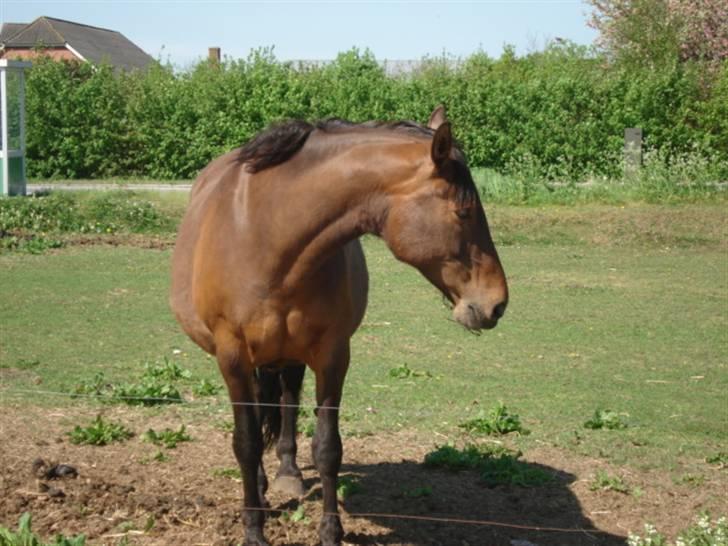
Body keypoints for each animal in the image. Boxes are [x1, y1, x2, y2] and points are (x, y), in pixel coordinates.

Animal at [172, 106, 506, 544]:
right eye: (463, 212)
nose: (497, 303)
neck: (267, 237)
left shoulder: (332, 354)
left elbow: (328, 447)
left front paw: (330, 530)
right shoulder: (232, 358)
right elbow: (245, 442)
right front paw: (253, 529)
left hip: (290, 355)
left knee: (287, 400)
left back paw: (288, 473)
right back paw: (261, 486)